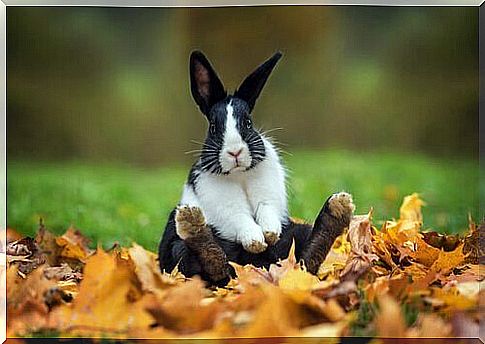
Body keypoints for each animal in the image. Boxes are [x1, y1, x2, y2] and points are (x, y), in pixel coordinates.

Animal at [160, 50, 356, 284]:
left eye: (248, 123)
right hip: (177, 245)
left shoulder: (269, 197)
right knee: (214, 265)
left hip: (296, 233)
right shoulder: (225, 206)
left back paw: (337, 209)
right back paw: (192, 223)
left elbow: (266, 210)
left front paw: (269, 233)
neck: (240, 175)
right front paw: (256, 241)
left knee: (306, 261)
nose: (235, 152)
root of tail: (257, 266)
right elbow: (241, 218)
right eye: (214, 127)